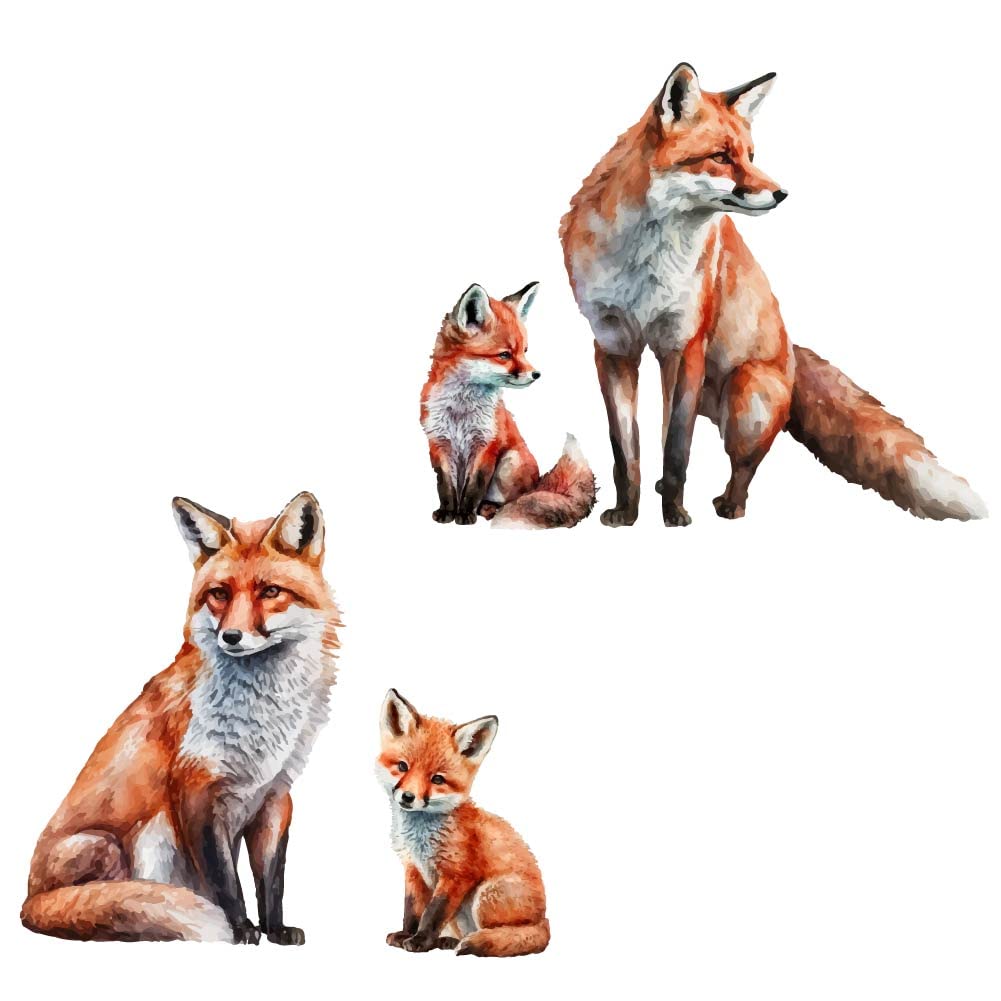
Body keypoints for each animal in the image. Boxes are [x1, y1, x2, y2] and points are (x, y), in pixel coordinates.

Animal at [21, 492, 340, 944]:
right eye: (219, 593)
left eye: (270, 591)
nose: (231, 637)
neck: (262, 719)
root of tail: (27, 901)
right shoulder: (196, 790)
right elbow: (225, 880)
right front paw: (242, 930)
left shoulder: (276, 795)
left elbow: (271, 880)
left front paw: (275, 930)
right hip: (111, 843)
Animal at [377, 689, 549, 958]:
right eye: (402, 766)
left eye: (437, 779)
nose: (407, 797)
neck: (420, 837)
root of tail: (544, 922)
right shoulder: (413, 869)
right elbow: (413, 910)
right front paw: (406, 934)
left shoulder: (457, 874)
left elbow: (433, 913)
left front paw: (420, 941)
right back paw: (447, 941)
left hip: (485, 896)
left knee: (510, 935)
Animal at [421, 281, 596, 528]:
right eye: (504, 355)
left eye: (525, 351)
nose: (536, 374)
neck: (460, 410)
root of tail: (538, 483)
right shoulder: (438, 442)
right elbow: (444, 487)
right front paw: (448, 512)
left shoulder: (487, 445)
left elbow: (474, 488)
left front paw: (464, 515)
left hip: (510, 462)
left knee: (511, 501)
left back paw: (489, 509)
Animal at [560, 63, 987, 526]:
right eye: (721, 157)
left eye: (751, 154)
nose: (781, 193)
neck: (643, 261)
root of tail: (792, 356)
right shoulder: (613, 345)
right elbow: (626, 452)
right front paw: (627, 511)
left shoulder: (685, 343)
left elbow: (676, 451)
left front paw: (673, 514)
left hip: (747, 396)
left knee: (744, 464)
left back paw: (730, 506)